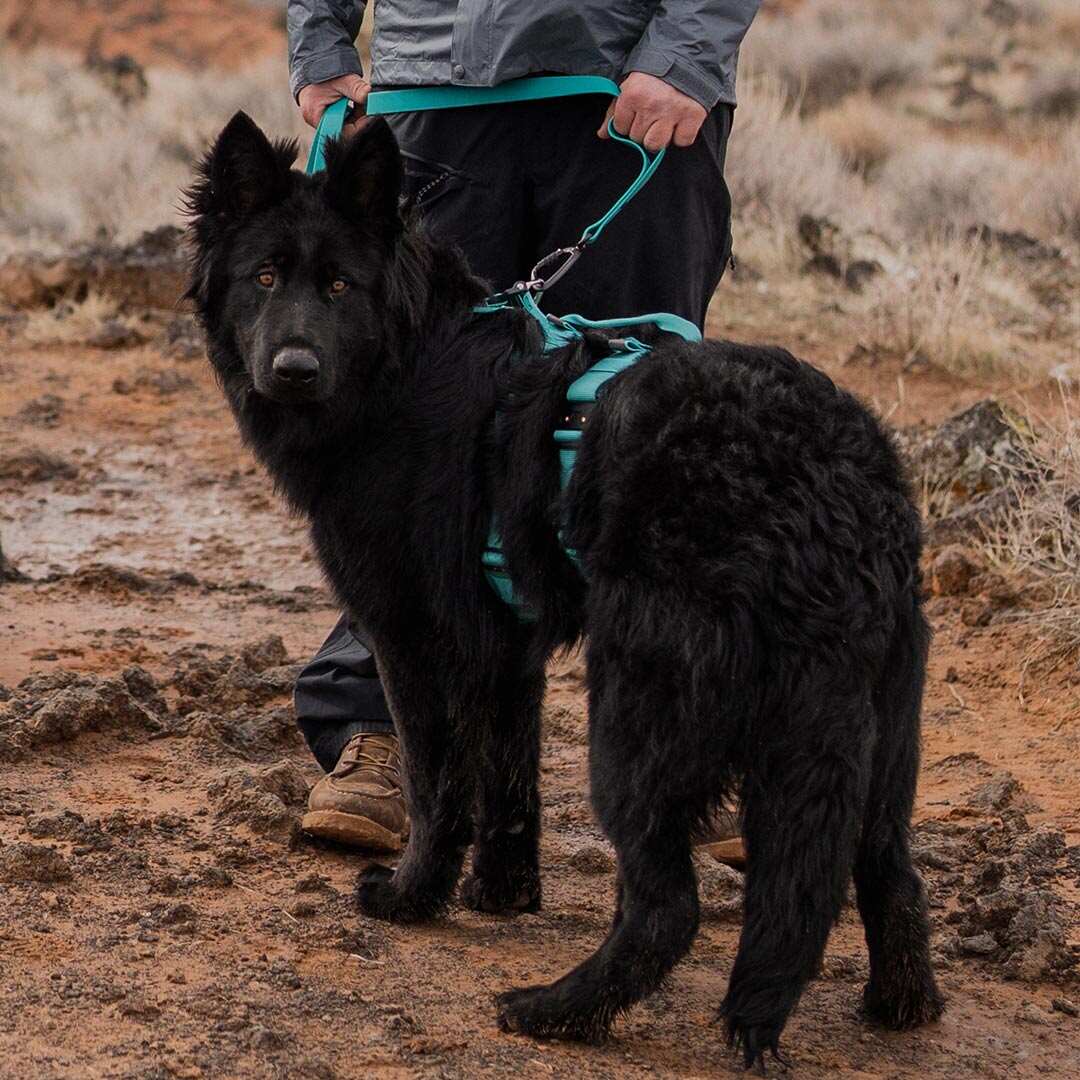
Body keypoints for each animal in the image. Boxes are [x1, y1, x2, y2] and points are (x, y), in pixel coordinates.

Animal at [187, 113, 946, 1067]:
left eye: (338, 285)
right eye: (263, 277)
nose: (293, 368)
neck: (406, 366)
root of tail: (841, 486)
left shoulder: (416, 639)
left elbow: (440, 787)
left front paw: (414, 898)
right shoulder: (505, 647)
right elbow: (509, 781)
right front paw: (502, 893)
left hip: (639, 713)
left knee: (670, 908)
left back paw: (559, 1010)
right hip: (878, 722)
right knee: (888, 867)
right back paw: (901, 1003)